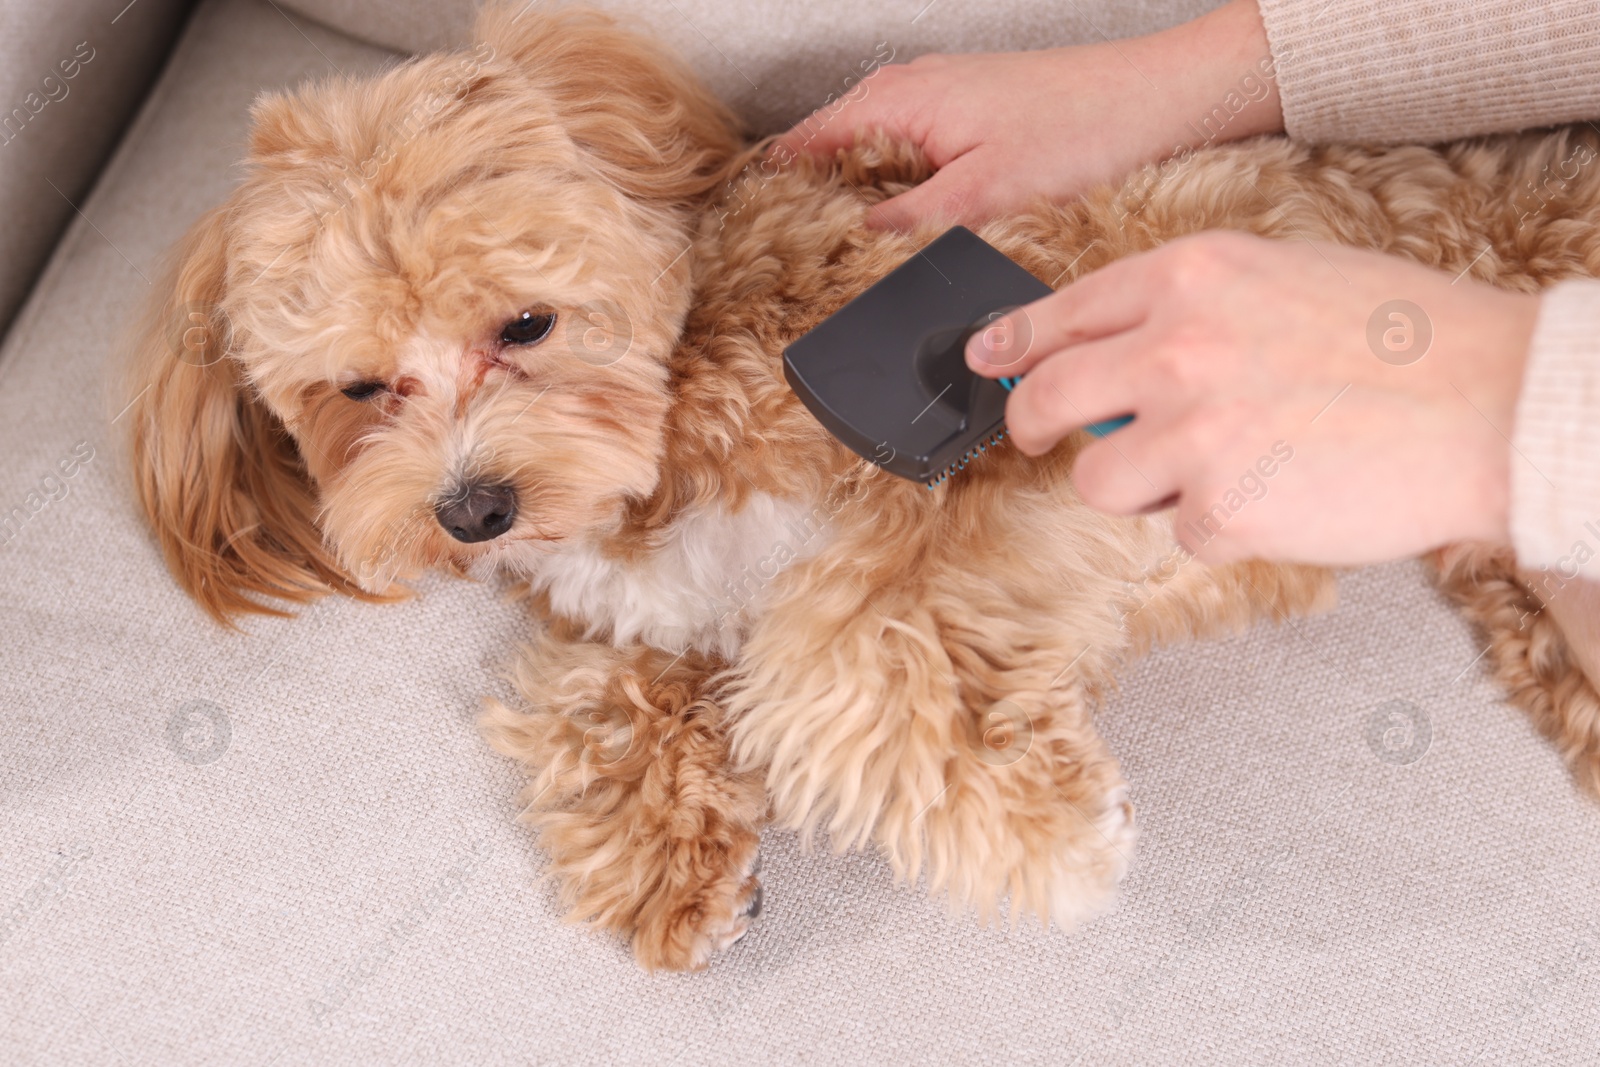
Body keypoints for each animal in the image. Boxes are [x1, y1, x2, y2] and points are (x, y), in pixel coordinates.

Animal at [128, 4, 1600, 972]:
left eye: (527, 323)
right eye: (357, 387)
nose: (471, 510)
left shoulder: (986, 483)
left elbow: (835, 652)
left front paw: (1048, 828)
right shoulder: (639, 613)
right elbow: (605, 690)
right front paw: (668, 860)